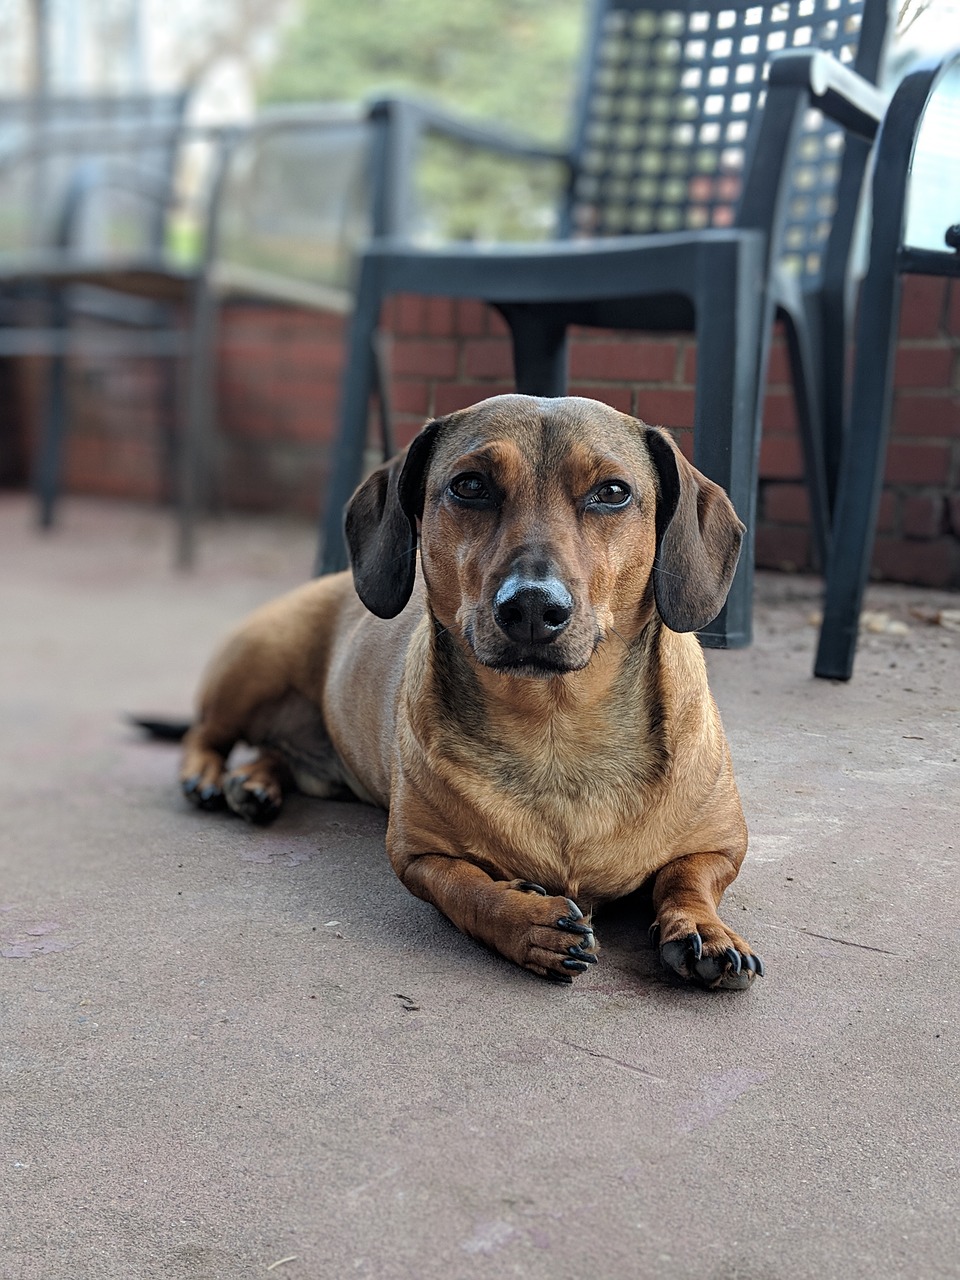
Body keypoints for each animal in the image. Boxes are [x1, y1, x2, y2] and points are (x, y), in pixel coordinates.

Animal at [181, 394, 768, 993]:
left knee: (274, 752)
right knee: (207, 733)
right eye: (470, 485)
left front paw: (702, 928)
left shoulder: (722, 846)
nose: (531, 606)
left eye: (612, 492)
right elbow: (466, 888)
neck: (556, 729)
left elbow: (687, 876)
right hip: (255, 664)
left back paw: (255, 782)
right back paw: (208, 775)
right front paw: (529, 922)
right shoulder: (418, 857)